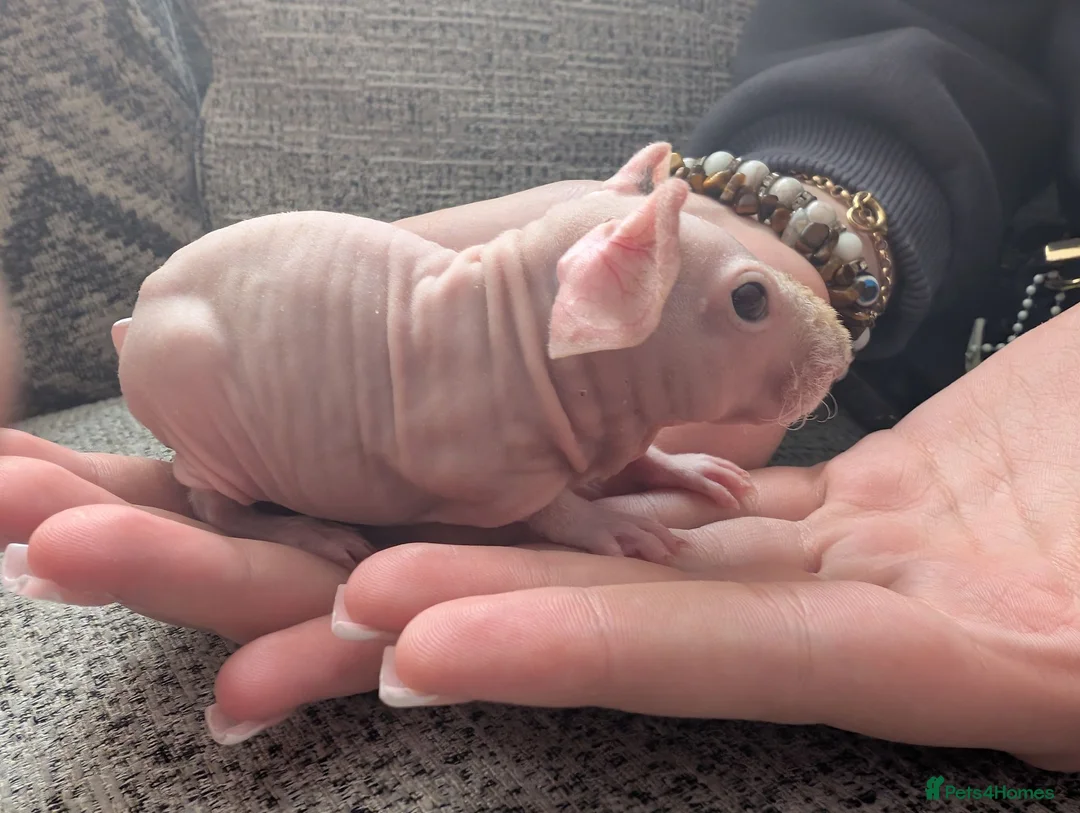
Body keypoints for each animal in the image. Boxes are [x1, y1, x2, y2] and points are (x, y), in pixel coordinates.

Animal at [112, 142, 852, 569]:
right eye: (750, 299)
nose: (843, 348)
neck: (521, 317)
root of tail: (136, 316)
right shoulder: (482, 460)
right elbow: (545, 506)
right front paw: (608, 525)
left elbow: (632, 456)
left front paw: (681, 464)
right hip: (198, 413)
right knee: (214, 505)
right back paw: (308, 534)